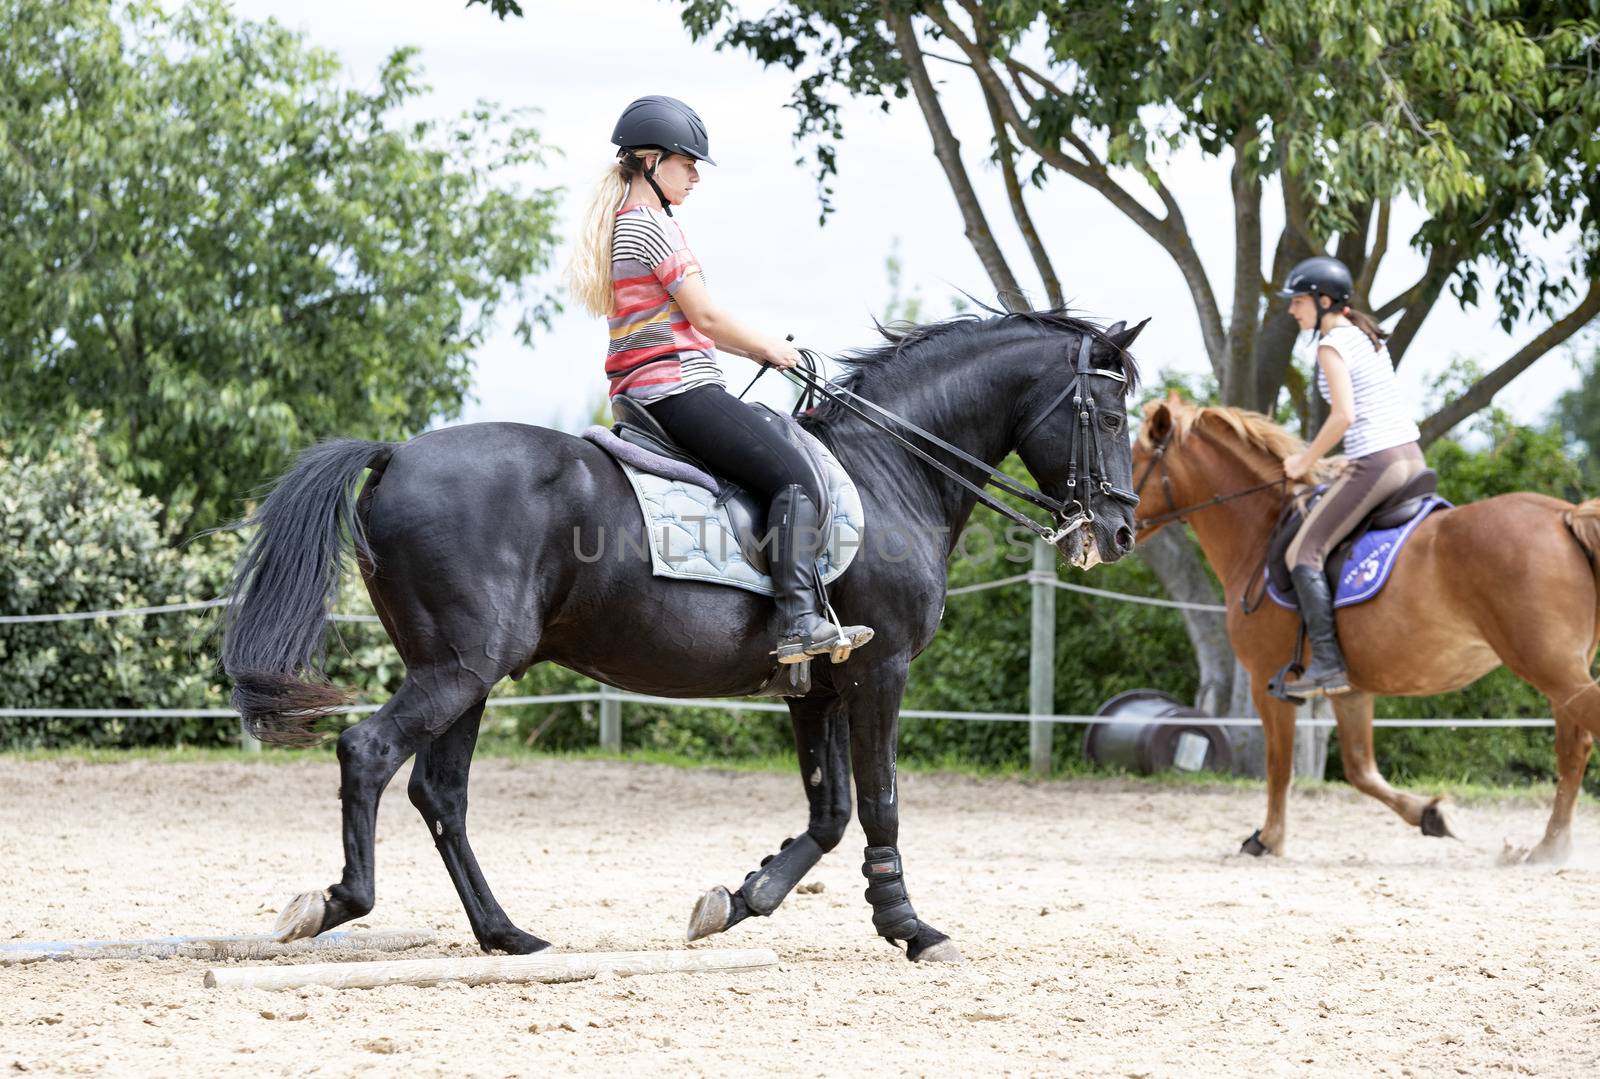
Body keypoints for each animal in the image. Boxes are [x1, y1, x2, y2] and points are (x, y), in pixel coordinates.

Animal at [225, 307, 1145, 960]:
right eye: (1107, 414)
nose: (1120, 531)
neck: (893, 472)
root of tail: (397, 455)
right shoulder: (879, 671)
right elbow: (880, 800)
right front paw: (909, 926)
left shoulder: (815, 685)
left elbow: (829, 811)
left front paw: (737, 902)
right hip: (459, 666)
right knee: (370, 754)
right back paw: (339, 903)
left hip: (466, 672)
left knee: (439, 792)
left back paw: (507, 933)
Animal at [1139, 392, 1600, 858]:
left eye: (1134, 457)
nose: (1117, 533)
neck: (1261, 533)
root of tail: (1564, 515)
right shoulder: (1349, 690)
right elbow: (1362, 771)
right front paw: (1432, 814)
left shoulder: (1267, 683)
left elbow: (1279, 767)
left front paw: (1268, 839)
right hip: (1562, 673)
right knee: (1572, 750)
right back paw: (1550, 848)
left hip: (1551, 668)